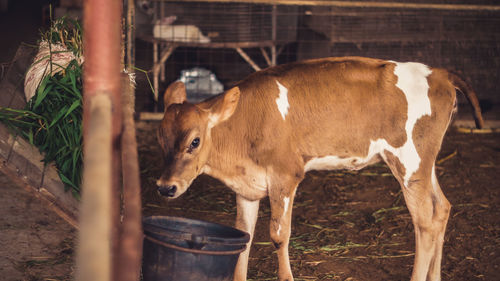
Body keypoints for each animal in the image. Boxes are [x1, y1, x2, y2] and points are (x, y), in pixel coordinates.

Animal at [156, 57, 484, 280]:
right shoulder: (247, 187)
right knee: (442, 208)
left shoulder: (285, 175)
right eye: (160, 138)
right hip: (425, 163)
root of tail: (440, 73)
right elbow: (243, 236)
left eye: (195, 141)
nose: (165, 187)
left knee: (425, 221)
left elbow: (278, 235)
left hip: (409, 162)